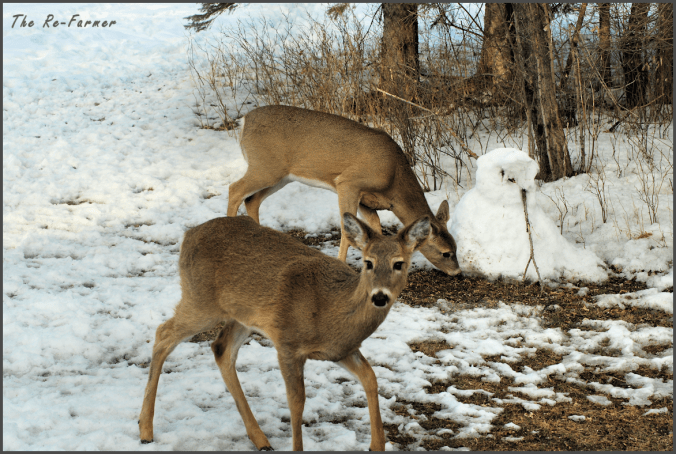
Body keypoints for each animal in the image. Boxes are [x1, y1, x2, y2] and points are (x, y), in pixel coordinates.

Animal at [138, 212, 432, 451]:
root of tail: (188, 235)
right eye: (368, 262)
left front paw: (376, 445)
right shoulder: (288, 344)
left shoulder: (342, 351)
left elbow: (371, 379)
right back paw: (145, 429)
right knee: (163, 333)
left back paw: (260, 439)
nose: (380, 297)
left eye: (399, 263)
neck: (330, 310)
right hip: (201, 301)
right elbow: (297, 402)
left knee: (220, 349)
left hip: (243, 315)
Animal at [227, 105, 461, 276]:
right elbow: (347, 230)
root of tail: (244, 120)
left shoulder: (367, 200)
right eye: (446, 253)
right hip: (265, 166)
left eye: (456, 248)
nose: (458, 273)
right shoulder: (348, 183)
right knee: (235, 190)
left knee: (252, 200)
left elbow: (375, 227)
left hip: (281, 176)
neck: (393, 178)